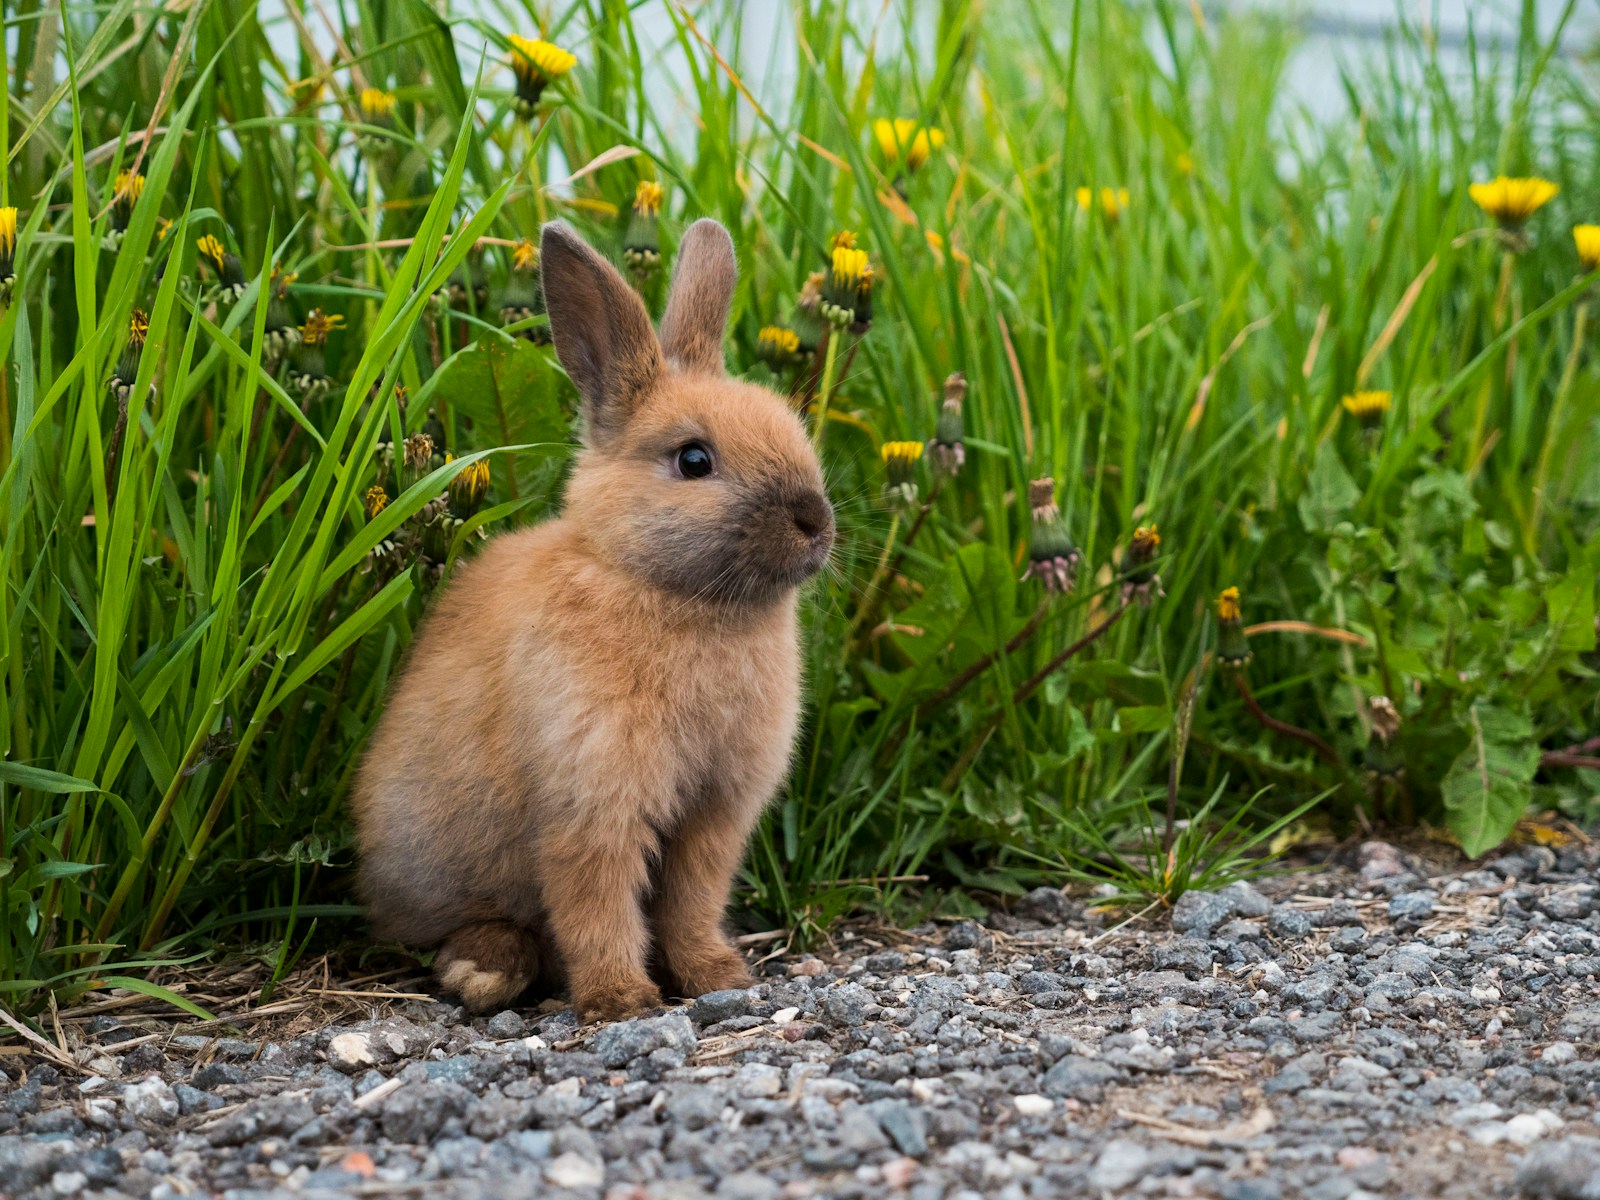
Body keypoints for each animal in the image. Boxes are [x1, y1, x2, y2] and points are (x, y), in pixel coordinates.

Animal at [353, 219, 838, 1024]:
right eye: (694, 459)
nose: (816, 521)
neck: (664, 589)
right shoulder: (590, 803)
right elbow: (597, 904)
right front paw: (620, 1000)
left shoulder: (713, 816)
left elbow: (690, 902)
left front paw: (717, 976)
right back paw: (482, 970)